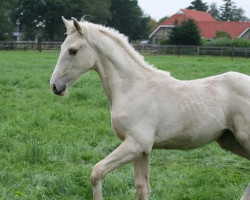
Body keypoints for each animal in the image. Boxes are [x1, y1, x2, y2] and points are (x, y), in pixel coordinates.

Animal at [49, 17, 249, 200]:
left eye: (73, 51)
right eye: (61, 47)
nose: (55, 86)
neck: (132, 87)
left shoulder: (136, 144)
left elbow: (96, 172)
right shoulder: (141, 150)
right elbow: (142, 188)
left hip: (243, 139)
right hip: (229, 140)